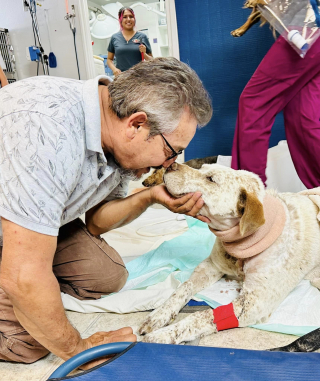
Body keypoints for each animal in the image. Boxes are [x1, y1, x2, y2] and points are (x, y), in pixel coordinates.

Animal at [139, 163, 320, 344]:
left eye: (211, 179)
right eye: (202, 168)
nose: (171, 165)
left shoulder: (254, 303)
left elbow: (203, 316)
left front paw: (162, 335)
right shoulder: (210, 266)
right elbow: (183, 287)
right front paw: (159, 314)